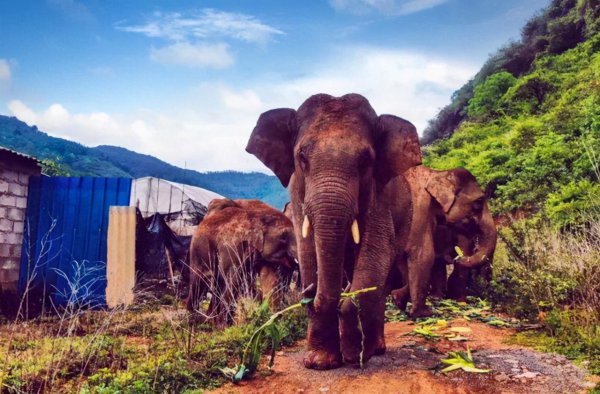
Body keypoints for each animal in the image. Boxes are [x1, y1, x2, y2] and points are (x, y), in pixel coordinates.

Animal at [245, 92, 422, 370]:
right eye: (302, 156)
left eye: (366, 160)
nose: (307, 292)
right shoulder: (297, 192)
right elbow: (308, 252)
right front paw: (320, 363)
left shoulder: (378, 193)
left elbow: (377, 252)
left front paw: (353, 356)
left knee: (381, 281)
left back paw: (374, 350)